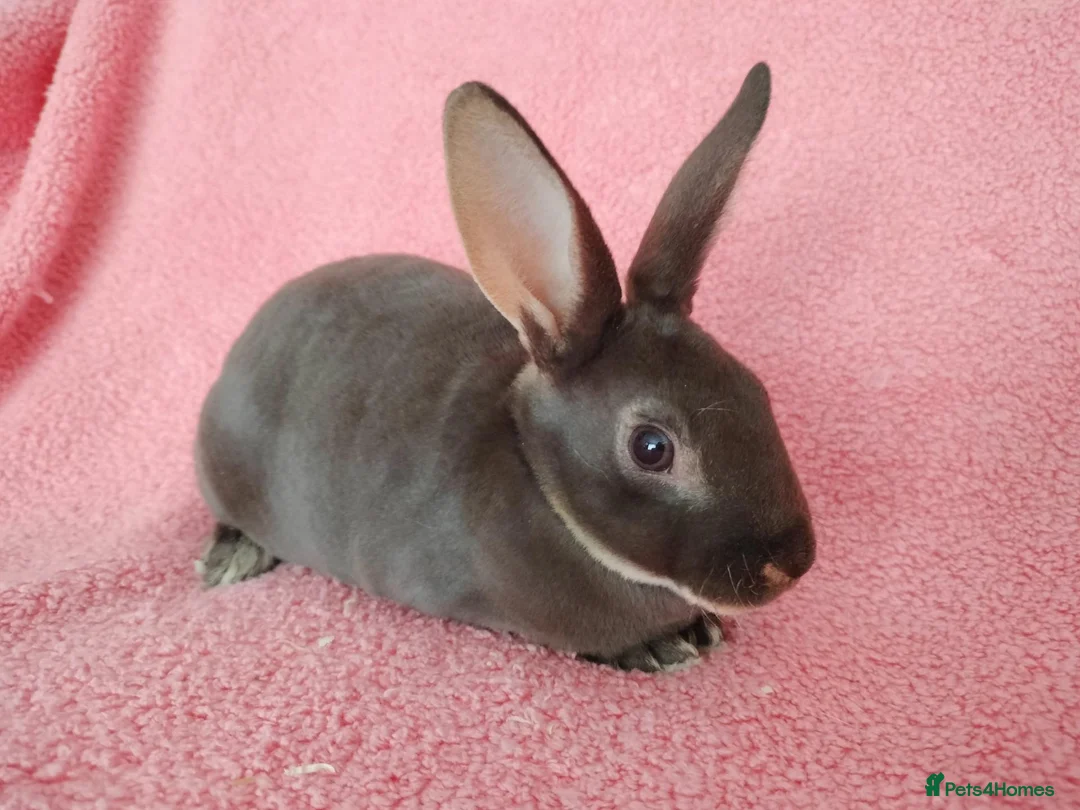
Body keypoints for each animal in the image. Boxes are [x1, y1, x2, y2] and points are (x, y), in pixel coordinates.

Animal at [194, 62, 815, 673]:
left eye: (755, 389)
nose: (793, 563)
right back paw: (231, 559)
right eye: (651, 448)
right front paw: (664, 647)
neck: (541, 476)